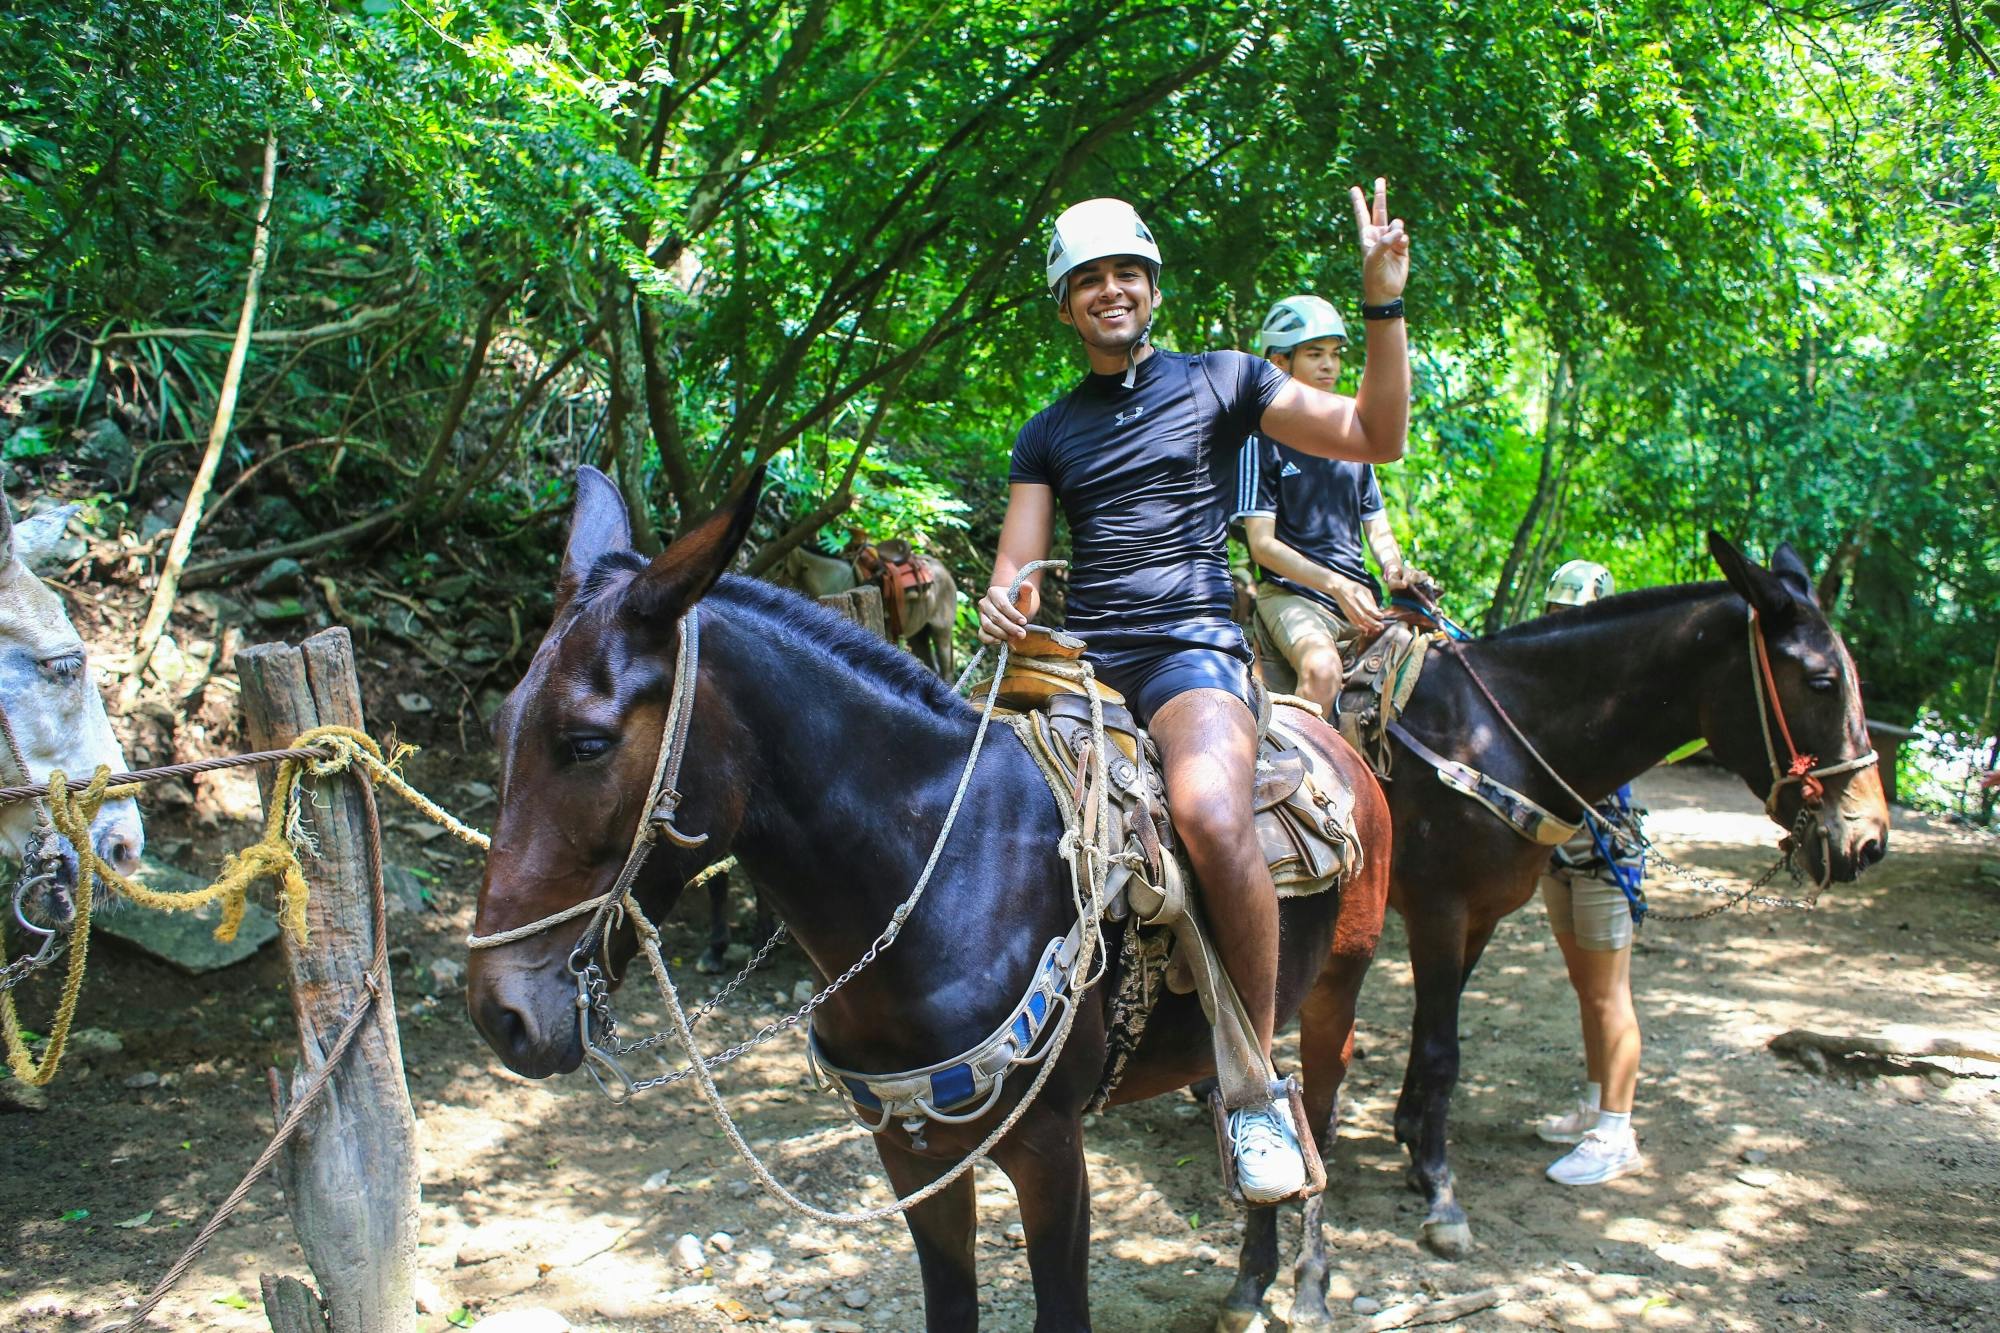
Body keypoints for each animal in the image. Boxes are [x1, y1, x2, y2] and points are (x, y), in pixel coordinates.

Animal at [470, 464, 1400, 1320]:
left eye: (586, 743)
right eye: (501, 725)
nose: (499, 1015)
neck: (950, 873)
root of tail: (1325, 732)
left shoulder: (1051, 1150)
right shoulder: (914, 1154)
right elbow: (948, 1300)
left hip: (1338, 983)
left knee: (1313, 1101)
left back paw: (1307, 1276)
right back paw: (1250, 1278)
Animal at [1384, 528, 1880, 1248]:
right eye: (1822, 681)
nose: (1869, 840)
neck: (1494, 735)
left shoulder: (1479, 916)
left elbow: (1431, 1030)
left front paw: (1412, 1145)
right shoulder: (1437, 908)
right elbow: (1442, 1047)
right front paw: (1440, 1190)